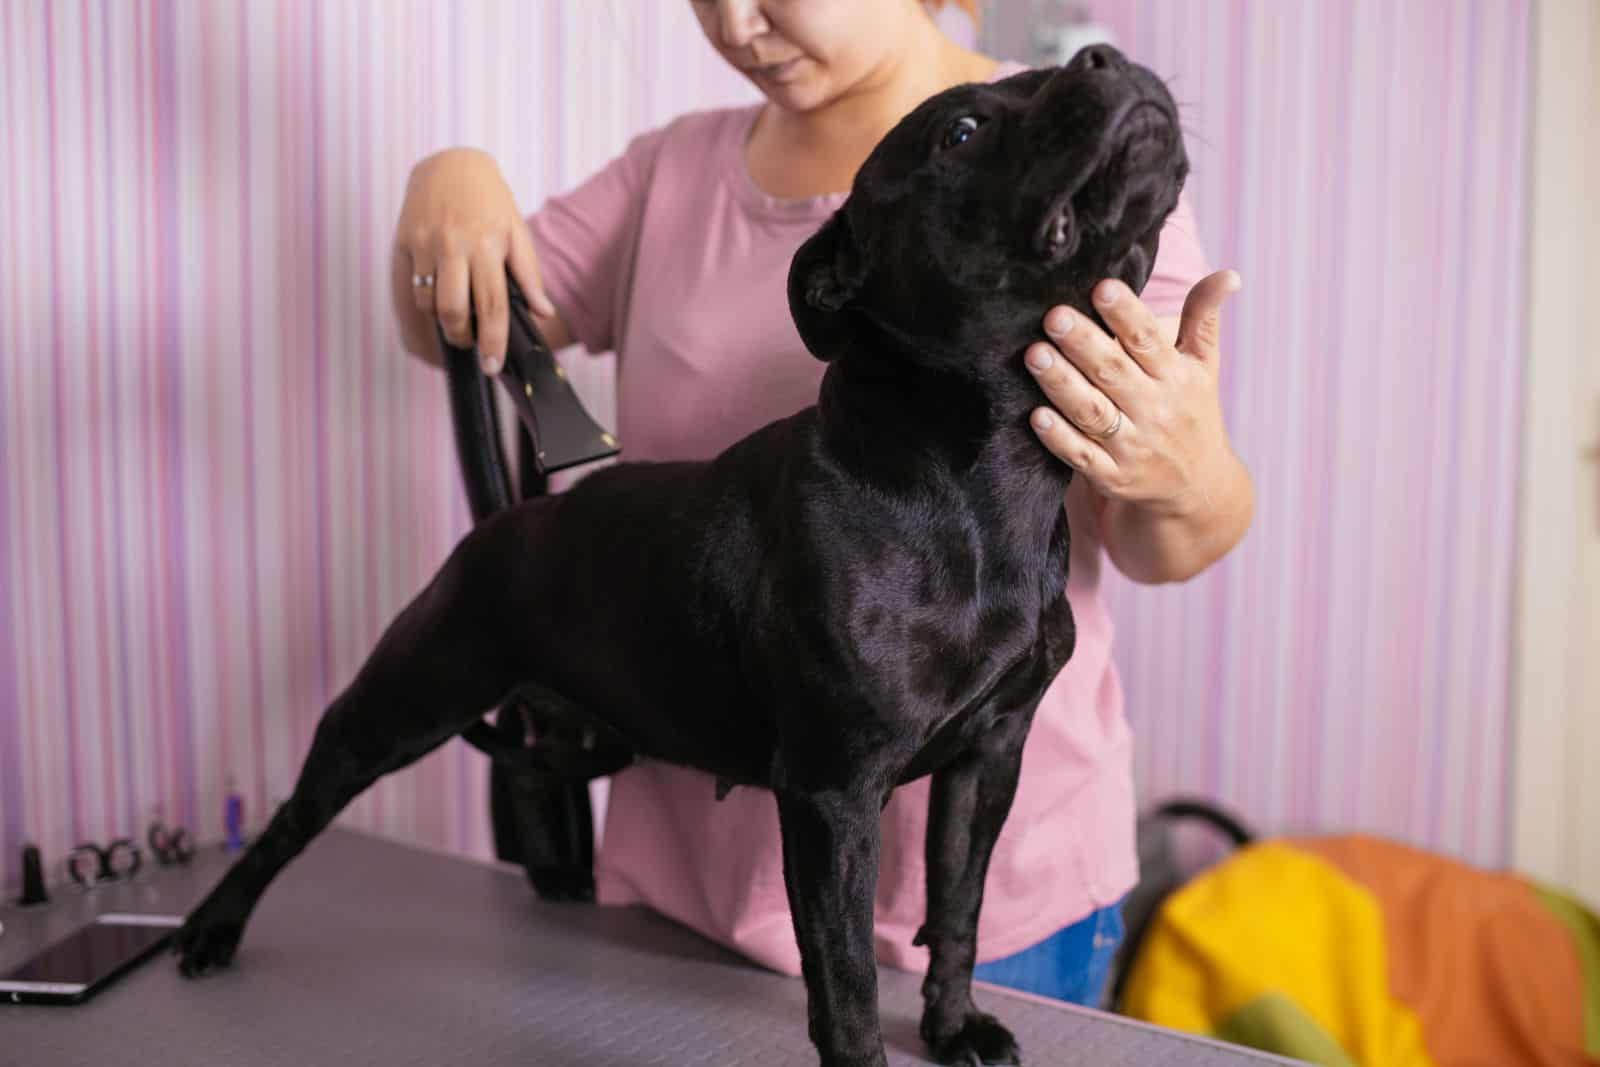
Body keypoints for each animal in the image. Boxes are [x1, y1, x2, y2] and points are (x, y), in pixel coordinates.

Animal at [175, 47, 1190, 1067]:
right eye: (961, 131)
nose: (1106, 54)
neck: (977, 480)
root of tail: (512, 518)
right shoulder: (832, 792)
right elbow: (848, 979)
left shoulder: (987, 759)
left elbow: (959, 907)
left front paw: (952, 1025)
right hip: (400, 701)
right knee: (293, 817)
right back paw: (213, 926)